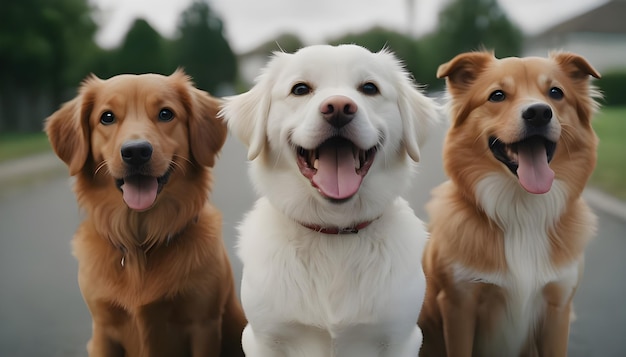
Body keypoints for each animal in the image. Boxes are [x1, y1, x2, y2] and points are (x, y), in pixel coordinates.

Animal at [45, 70, 245, 356]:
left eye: (165, 113)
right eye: (107, 117)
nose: (136, 151)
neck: (140, 244)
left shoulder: (203, 324)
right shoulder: (103, 330)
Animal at [222, 44, 436, 356]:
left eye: (369, 88)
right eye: (300, 89)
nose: (338, 107)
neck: (334, 233)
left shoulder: (401, 337)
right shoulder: (264, 338)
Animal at [416, 52, 596, 356]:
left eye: (556, 92)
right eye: (497, 95)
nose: (539, 113)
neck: (522, 210)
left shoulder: (557, 308)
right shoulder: (458, 305)